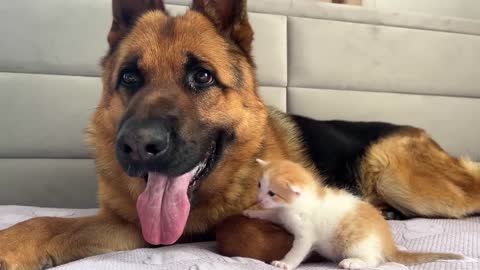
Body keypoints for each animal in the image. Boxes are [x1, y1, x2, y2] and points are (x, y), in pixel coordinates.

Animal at [244, 159, 462, 268]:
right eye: (259, 185)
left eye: (272, 193)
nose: (259, 199)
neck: (294, 205)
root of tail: (387, 243)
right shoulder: (282, 215)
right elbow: (272, 215)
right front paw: (250, 212)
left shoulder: (306, 233)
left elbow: (298, 250)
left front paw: (285, 263)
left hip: (355, 243)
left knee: (375, 260)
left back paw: (353, 262)